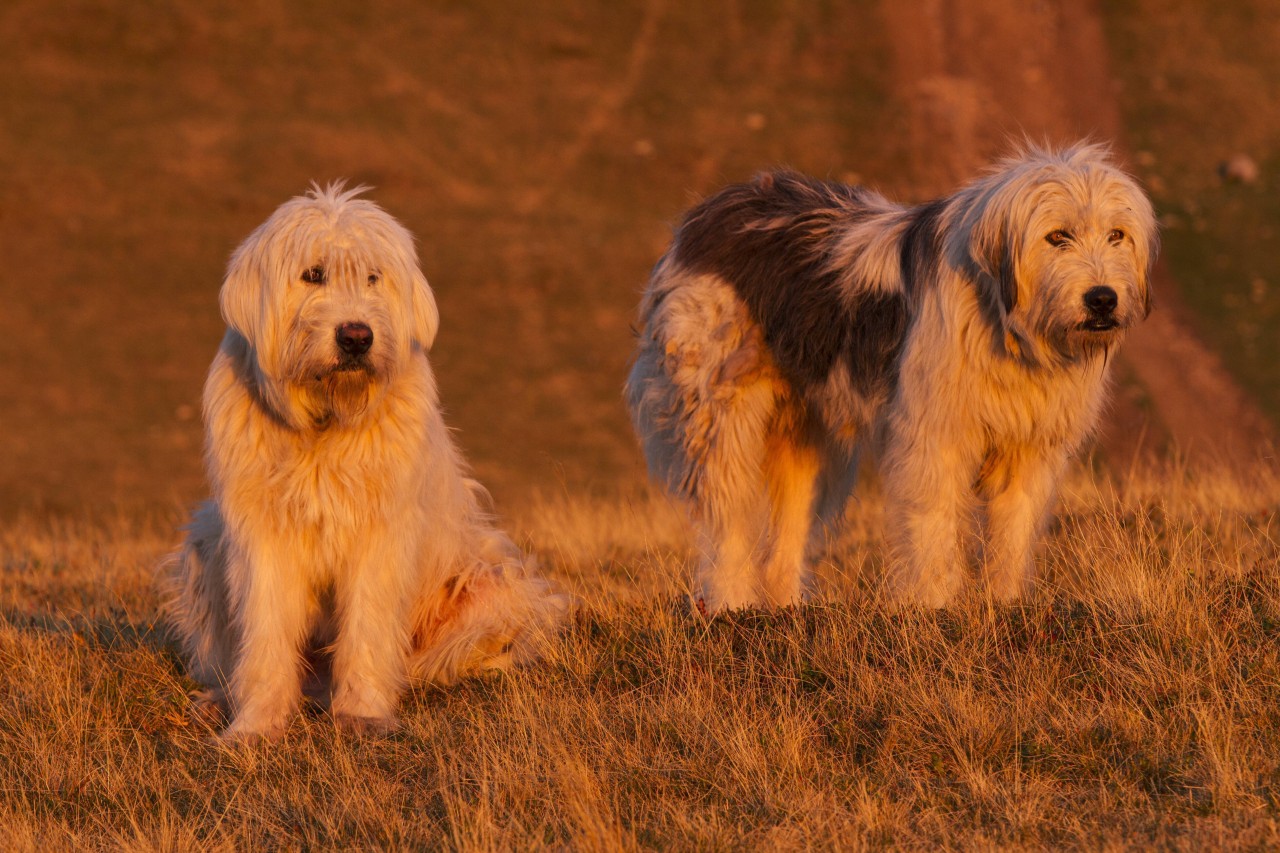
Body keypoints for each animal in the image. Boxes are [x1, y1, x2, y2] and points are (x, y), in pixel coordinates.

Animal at [162, 184, 563, 737]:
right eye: (313, 274)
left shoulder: (380, 531)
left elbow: (368, 623)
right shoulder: (262, 531)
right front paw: (256, 725)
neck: (324, 422)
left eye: (373, 277)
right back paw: (221, 698)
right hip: (205, 540)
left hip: (492, 586)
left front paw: (363, 714)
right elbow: (264, 629)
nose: (356, 337)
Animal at [627, 144, 1162, 612]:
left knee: (788, 530)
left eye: (1117, 235)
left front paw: (1007, 602)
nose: (1102, 299)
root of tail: (709, 212)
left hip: (808, 442)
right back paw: (731, 605)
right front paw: (933, 604)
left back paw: (785, 606)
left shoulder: (1030, 446)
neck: (1005, 322)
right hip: (719, 415)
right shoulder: (934, 436)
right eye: (1057, 236)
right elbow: (933, 522)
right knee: (729, 521)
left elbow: (1014, 528)